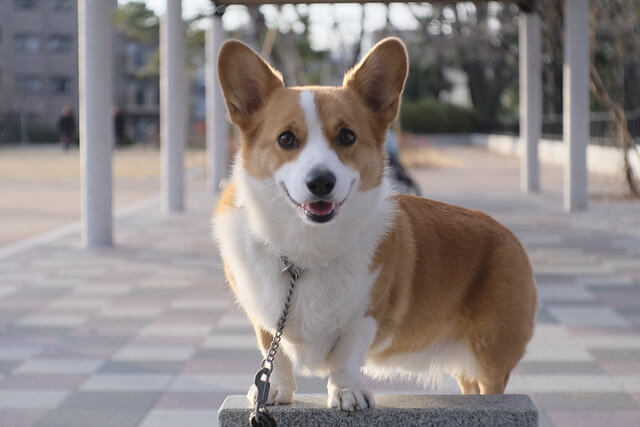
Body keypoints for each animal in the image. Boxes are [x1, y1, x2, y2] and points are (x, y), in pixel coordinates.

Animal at [212, 38, 536, 412]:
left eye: (347, 136)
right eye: (286, 139)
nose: (321, 182)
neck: (306, 246)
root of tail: (509, 237)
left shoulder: (366, 314)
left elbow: (345, 357)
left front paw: (347, 393)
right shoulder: (263, 315)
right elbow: (273, 353)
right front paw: (274, 390)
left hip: (490, 357)